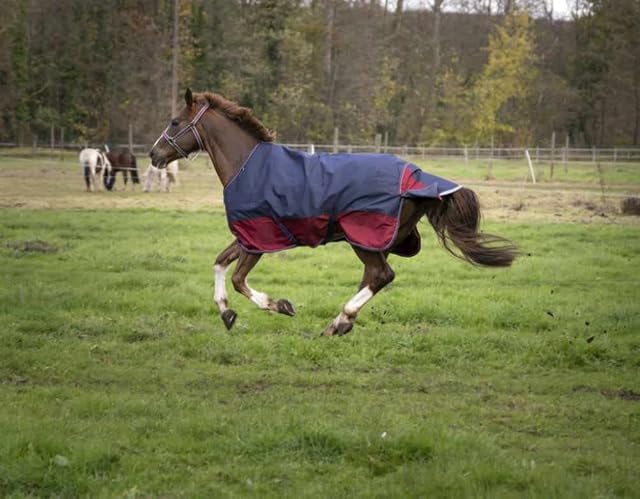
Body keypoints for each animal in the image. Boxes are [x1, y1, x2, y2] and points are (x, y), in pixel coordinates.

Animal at [149, 89, 517, 336]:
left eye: (175, 121)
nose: (154, 154)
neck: (246, 165)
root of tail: (419, 178)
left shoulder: (258, 237)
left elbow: (239, 279)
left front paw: (281, 306)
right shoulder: (246, 236)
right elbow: (219, 263)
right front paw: (226, 313)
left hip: (363, 238)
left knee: (381, 275)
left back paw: (339, 321)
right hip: (376, 241)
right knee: (374, 277)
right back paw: (343, 322)